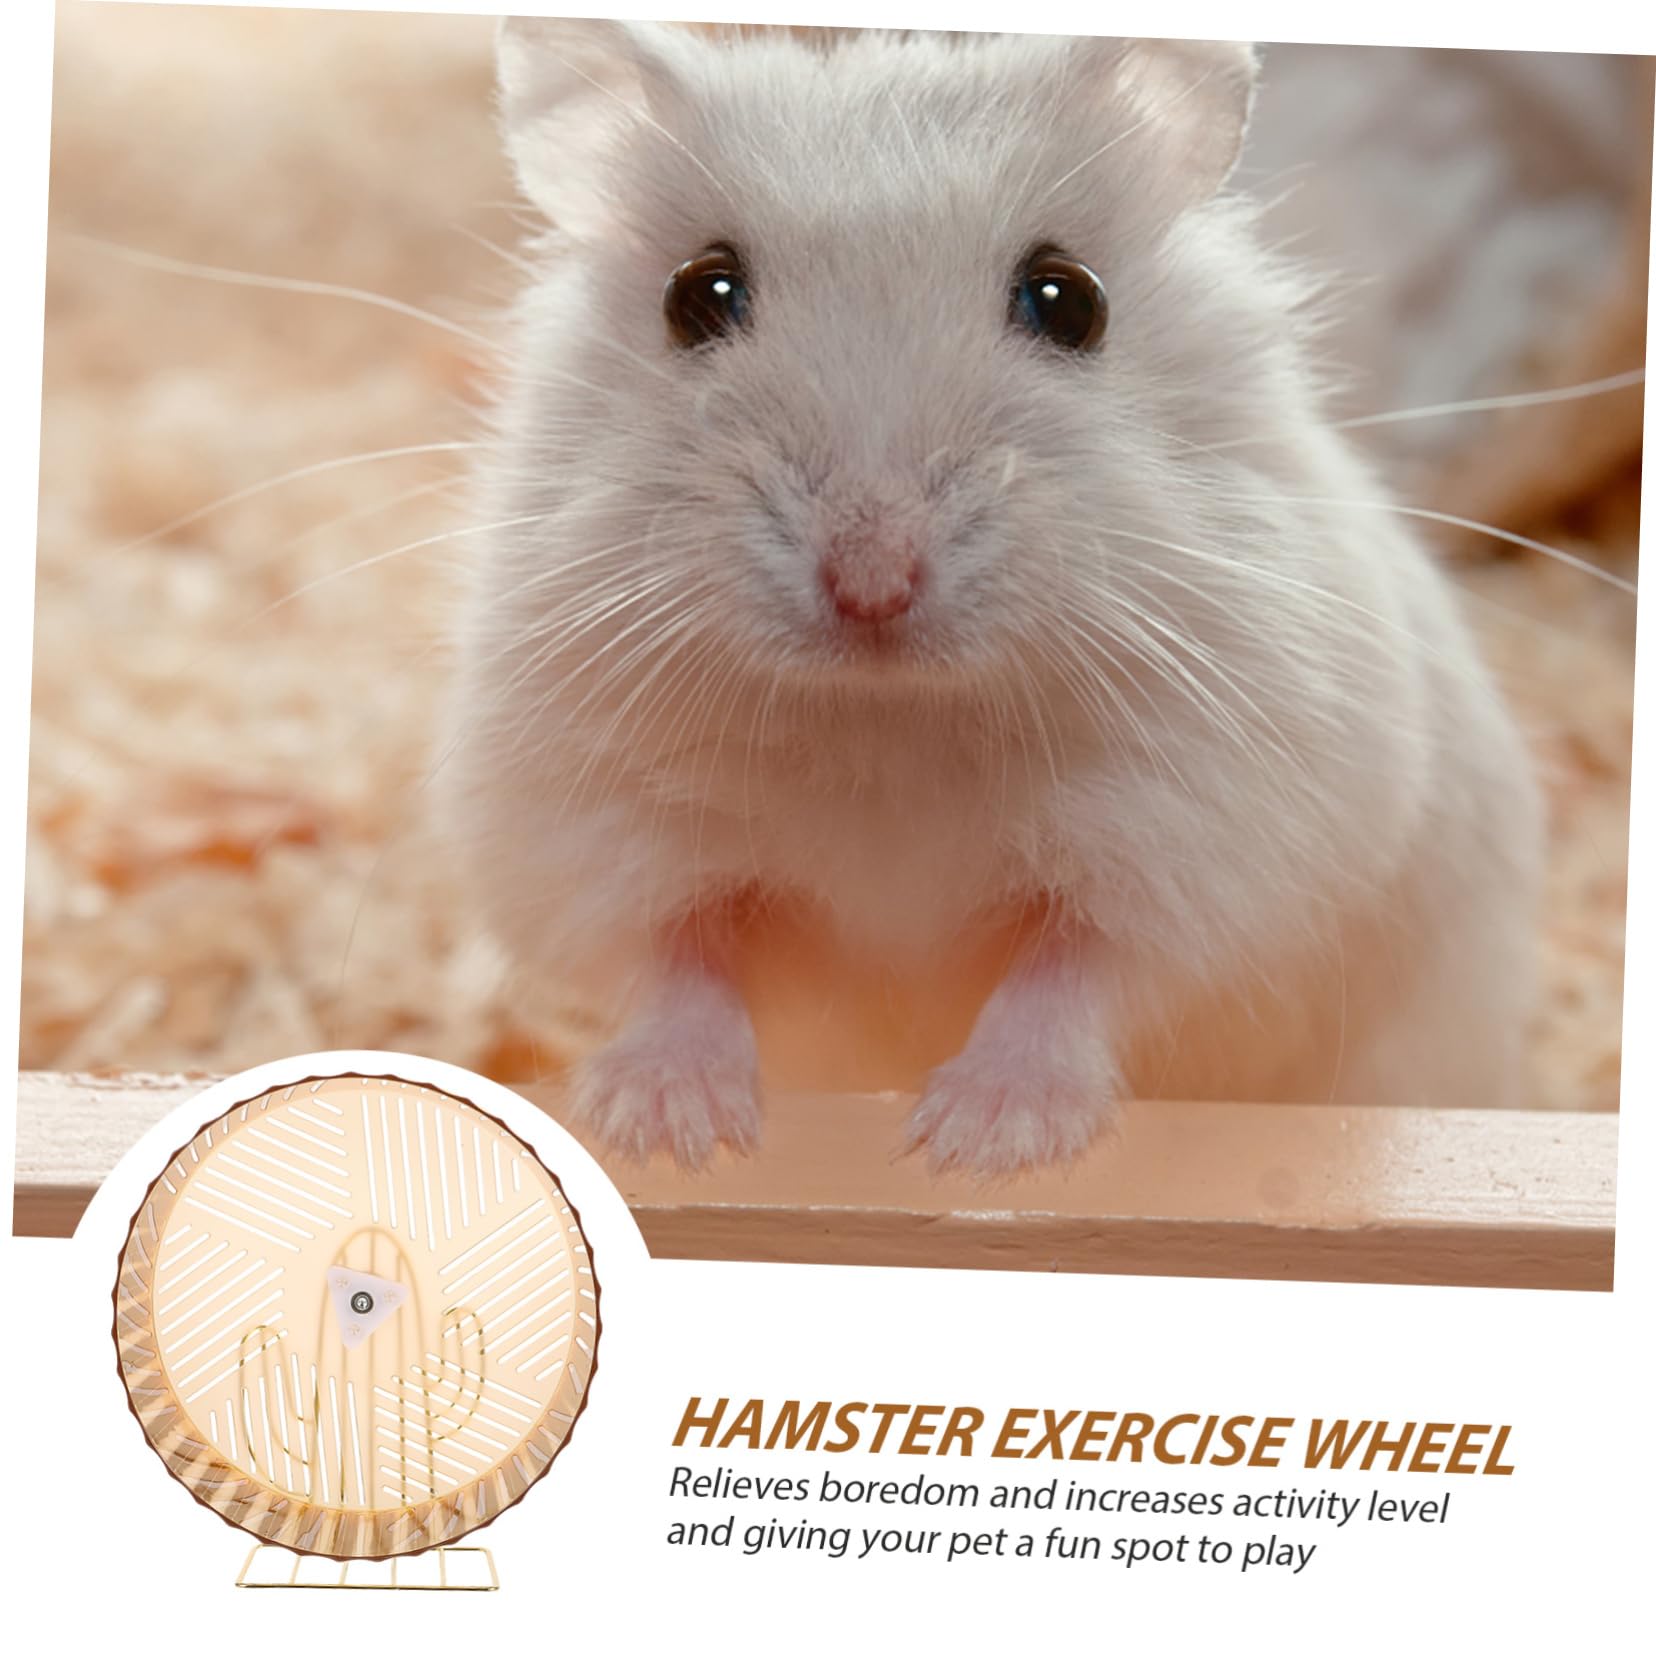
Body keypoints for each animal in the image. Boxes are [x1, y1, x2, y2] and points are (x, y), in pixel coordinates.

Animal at [441, 21, 1544, 1177]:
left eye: (1069, 300)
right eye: (698, 296)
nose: (872, 582)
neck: (889, 723)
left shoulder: (1205, 841)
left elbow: (1075, 973)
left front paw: (976, 1142)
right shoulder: (593, 828)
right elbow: (675, 961)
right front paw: (670, 1132)